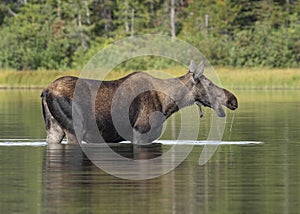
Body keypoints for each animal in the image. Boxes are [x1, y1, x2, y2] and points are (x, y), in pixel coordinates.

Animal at [41, 61, 239, 145]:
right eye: (210, 83)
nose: (233, 99)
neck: (168, 104)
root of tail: (46, 90)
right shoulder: (140, 131)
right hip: (75, 128)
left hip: (54, 128)